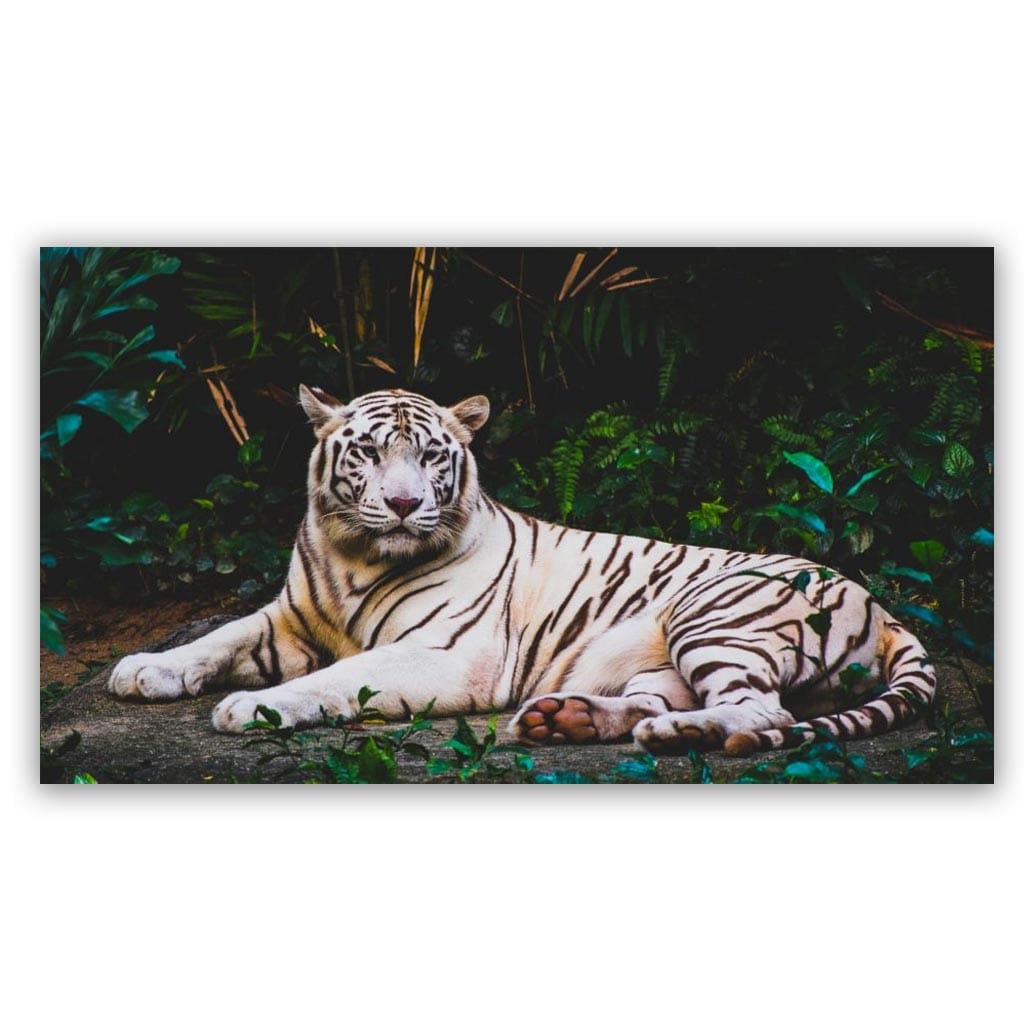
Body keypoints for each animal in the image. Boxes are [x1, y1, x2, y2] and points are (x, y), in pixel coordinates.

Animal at [107, 386, 936, 758]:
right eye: (369, 452)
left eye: (430, 456)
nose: (403, 503)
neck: (354, 555)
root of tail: (883, 606)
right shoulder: (288, 617)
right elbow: (217, 635)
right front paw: (145, 668)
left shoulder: (445, 654)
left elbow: (336, 678)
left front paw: (253, 707)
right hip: (663, 657)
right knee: (671, 699)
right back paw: (566, 718)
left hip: (714, 612)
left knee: (765, 712)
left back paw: (678, 734)